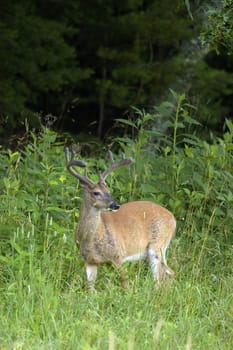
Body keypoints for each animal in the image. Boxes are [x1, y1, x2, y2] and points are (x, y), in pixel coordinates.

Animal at [64, 148, 176, 290]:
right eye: (96, 192)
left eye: (108, 190)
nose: (115, 205)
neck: (91, 239)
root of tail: (173, 219)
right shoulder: (89, 260)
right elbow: (91, 288)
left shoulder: (118, 255)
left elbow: (125, 284)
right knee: (169, 272)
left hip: (157, 246)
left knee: (159, 279)